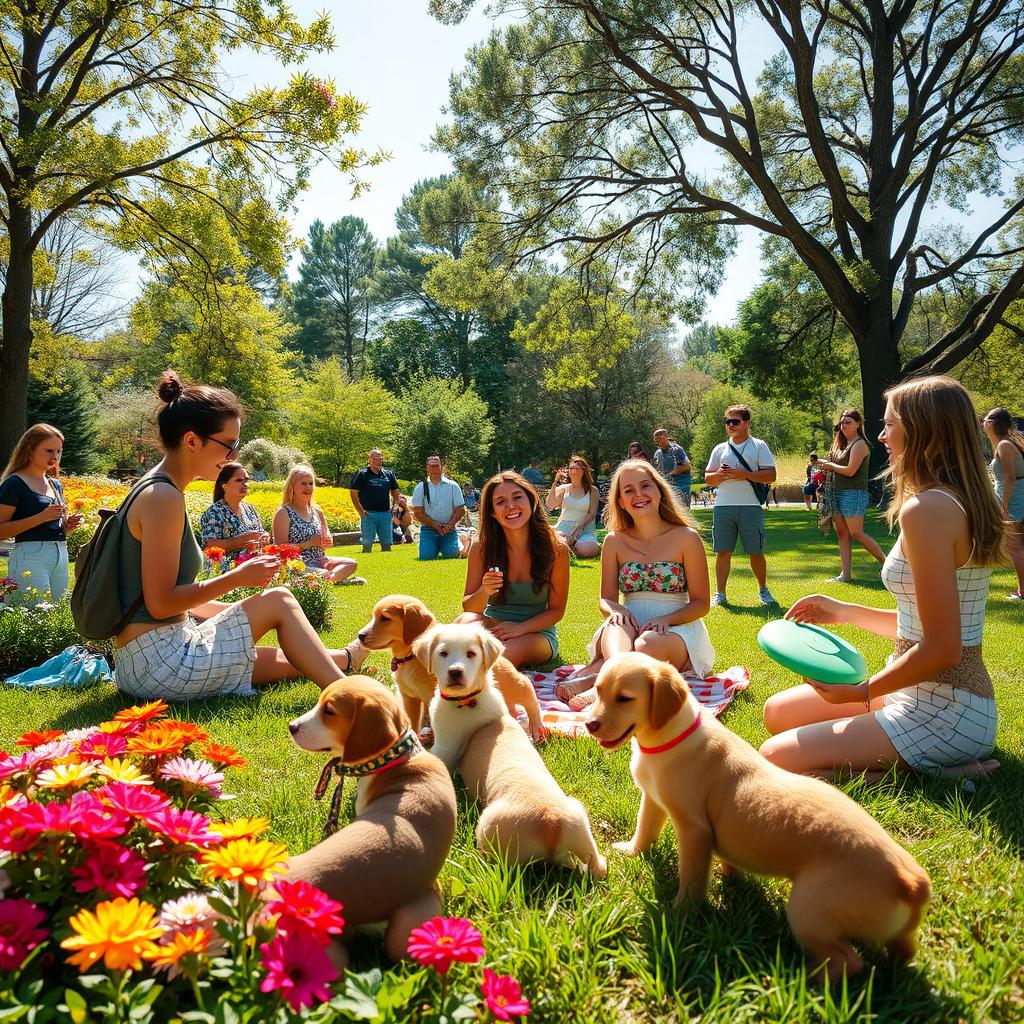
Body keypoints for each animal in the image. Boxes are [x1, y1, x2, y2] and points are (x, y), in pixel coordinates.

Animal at [358, 593, 548, 745]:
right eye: (374, 616)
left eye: (385, 618)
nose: (360, 636)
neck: (410, 657)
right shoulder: (409, 697)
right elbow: (413, 721)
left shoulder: (432, 696)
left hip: (512, 683)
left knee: (528, 691)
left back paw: (537, 728)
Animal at [415, 618, 606, 876]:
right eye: (443, 653)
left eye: (471, 654)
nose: (455, 672)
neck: (469, 700)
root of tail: (551, 823)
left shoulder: (445, 748)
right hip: (578, 817)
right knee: (598, 866)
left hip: (488, 827)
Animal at [585, 651, 929, 978]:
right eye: (598, 691)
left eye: (625, 698)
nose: (589, 725)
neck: (671, 735)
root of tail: (910, 881)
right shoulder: (654, 800)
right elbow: (645, 828)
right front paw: (632, 851)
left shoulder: (694, 829)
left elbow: (691, 877)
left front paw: (680, 913)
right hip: (887, 931)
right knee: (903, 951)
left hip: (809, 909)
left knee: (849, 962)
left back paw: (806, 979)